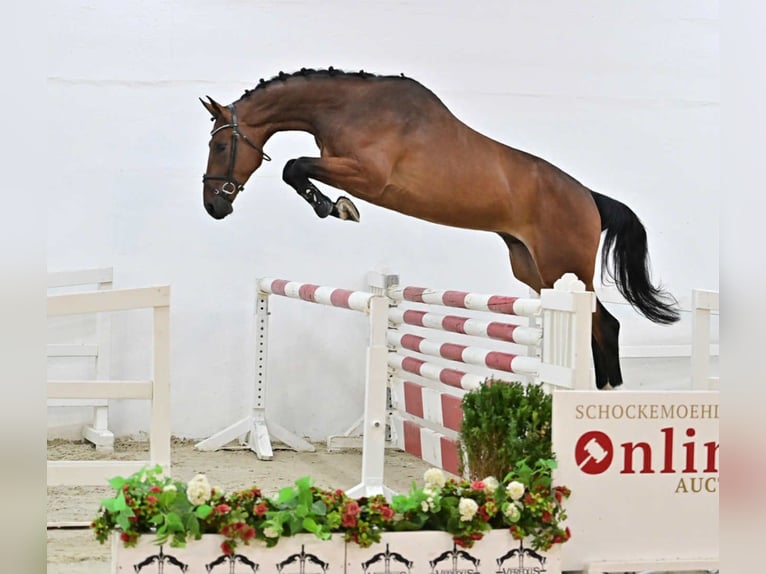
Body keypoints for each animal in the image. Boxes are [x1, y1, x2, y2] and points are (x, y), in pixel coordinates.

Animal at [200, 67, 680, 390]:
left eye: (221, 145)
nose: (213, 205)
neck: (349, 108)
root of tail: (589, 198)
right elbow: (294, 167)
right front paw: (334, 206)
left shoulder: (368, 175)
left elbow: (293, 166)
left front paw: (337, 208)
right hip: (532, 269)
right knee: (599, 326)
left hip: (566, 269)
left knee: (606, 326)